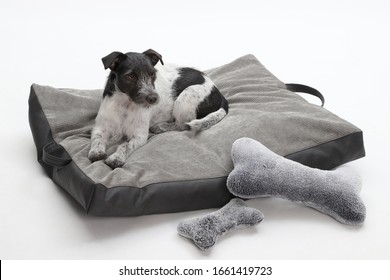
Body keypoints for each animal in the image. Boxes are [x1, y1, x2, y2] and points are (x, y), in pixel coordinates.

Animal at [88, 48, 229, 168]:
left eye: (152, 74)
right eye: (131, 76)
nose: (154, 98)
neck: (125, 104)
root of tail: (219, 94)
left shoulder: (139, 136)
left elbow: (125, 145)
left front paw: (116, 158)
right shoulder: (99, 129)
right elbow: (97, 140)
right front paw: (96, 152)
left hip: (186, 98)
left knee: (182, 124)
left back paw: (161, 127)